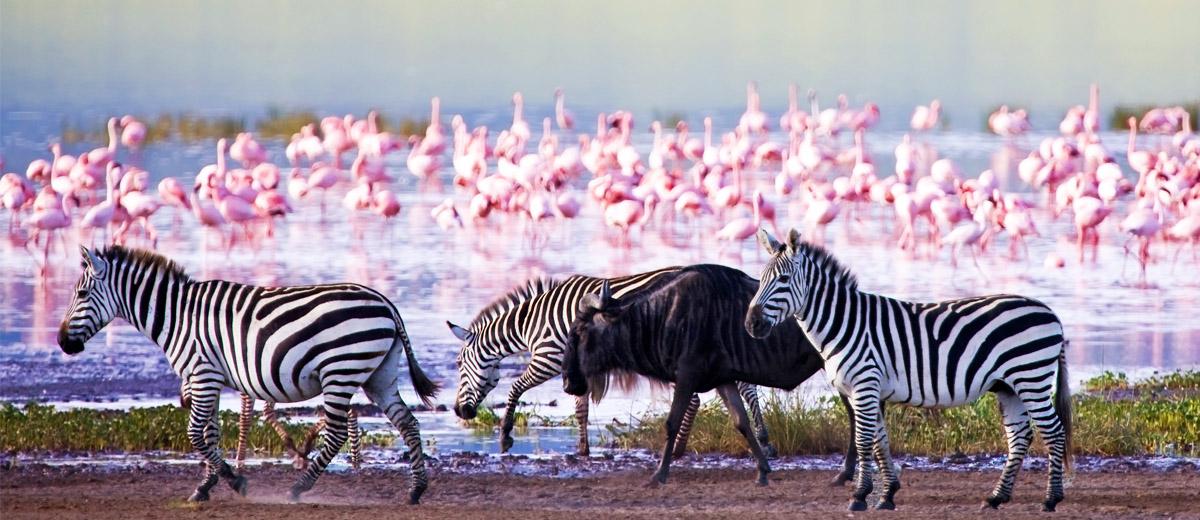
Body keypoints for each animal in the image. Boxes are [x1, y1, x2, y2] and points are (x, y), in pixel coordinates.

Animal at [57, 246, 441, 501]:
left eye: (81, 293)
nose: (62, 342)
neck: (178, 316)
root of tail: (384, 302)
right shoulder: (208, 378)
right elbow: (210, 433)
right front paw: (206, 486)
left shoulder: (202, 374)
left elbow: (195, 434)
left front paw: (233, 480)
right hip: (378, 374)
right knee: (408, 422)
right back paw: (416, 490)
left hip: (340, 371)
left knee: (336, 434)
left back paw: (298, 488)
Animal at [446, 265, 772, 456]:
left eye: (460, 365)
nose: (459, 411)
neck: (531, 323)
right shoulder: (577, 367)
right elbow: (581, 410)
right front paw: (582, 449)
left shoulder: (548, 359)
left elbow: (515, 389)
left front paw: (504, 436)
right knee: (743, 387)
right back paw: (763, 439)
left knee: (705, 395)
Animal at [744, 230, 1075, 511]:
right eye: (760, 279)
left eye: (784, 279)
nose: (751, 324)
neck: (844, 323)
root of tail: (1050, 311)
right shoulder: (867, 390)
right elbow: (880, 442)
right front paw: (887, 495)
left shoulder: (865, 385)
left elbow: (864, 442)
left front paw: (859, 496)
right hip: (1009, 386)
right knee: (1019, 436)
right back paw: (996, 498)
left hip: (1031, 378)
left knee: (1054, 432)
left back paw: (1051, 499)